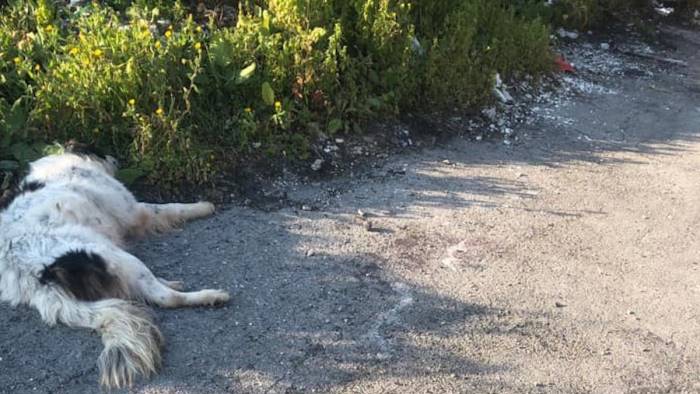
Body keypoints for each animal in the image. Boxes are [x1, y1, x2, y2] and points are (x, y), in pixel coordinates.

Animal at [0, 152, 231, 390]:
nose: (114, 158)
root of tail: (35, 277)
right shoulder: (134, 209)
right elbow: (169, 207)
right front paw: (203, 206)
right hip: (118, 256)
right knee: (165, 297)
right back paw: (211, 296)